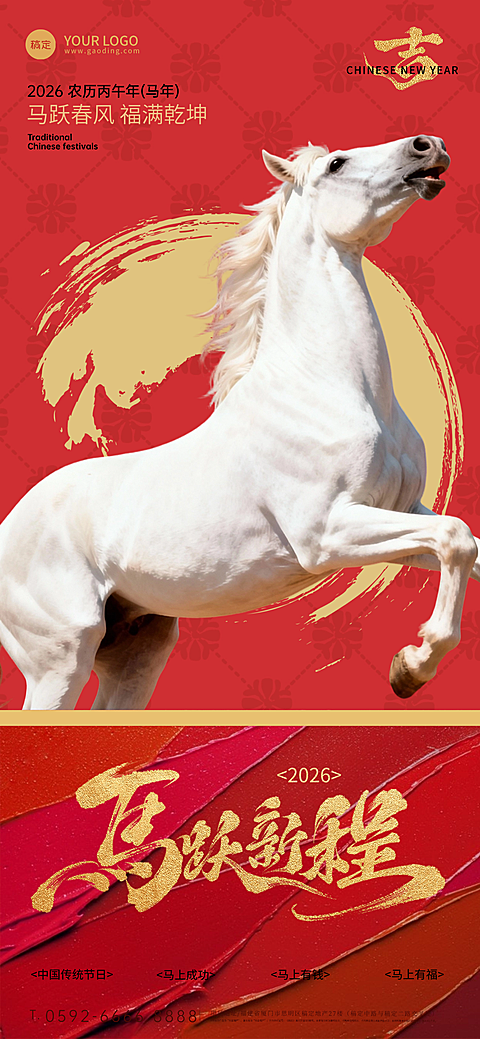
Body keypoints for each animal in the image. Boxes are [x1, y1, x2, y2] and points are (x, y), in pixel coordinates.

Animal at [0, 134, 478, 710]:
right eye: (337, 163)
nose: (429, 148)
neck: (331, 387)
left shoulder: (402, 512)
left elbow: (465, 544)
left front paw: (413, 663)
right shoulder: (327, 533)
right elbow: (455, 536)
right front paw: (412, 667)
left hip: (138, 651)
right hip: (60, 660)